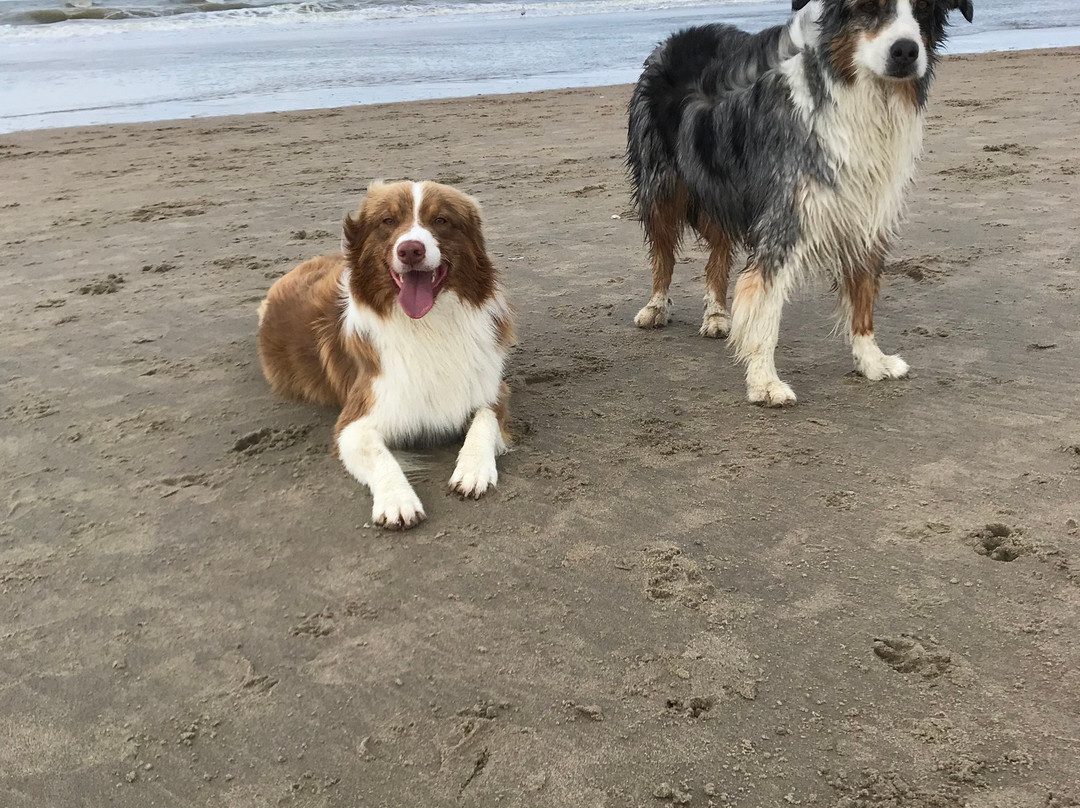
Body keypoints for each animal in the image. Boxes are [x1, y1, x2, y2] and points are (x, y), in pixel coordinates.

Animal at [260, 180, 514, 527]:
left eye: (441, 220)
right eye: (388, 221)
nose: (411, 250)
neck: (426, 326)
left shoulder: (492, 390)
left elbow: (484, 421)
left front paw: (473, 468)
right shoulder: (354, 422)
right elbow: (379, 454)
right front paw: (397, 500)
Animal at [626, 0, 972, 404]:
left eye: (924, 10)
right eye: (869, 8)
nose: (905, 51)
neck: (863, 96)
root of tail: (677, 37)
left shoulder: (866, 213)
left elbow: (863, 293)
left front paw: (872, 360)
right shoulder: (784, 216)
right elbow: (764, 303)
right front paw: (764, 382)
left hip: (719, 189)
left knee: (718, 254)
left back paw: (716, 314)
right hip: (662, 185)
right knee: (663, 253)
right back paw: (656, 307)